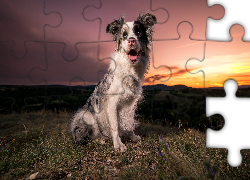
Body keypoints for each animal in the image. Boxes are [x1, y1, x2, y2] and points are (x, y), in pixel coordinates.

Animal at [70, 11, 156, 151]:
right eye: (124, 35)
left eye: (138, 32)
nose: (131, 41)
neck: (129, 68)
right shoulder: (111, 102)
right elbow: (115, 126)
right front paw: (118, 145)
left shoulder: (129, 105)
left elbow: (127, 123)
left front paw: (132, 136)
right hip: (86, 115)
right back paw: (100, 139)